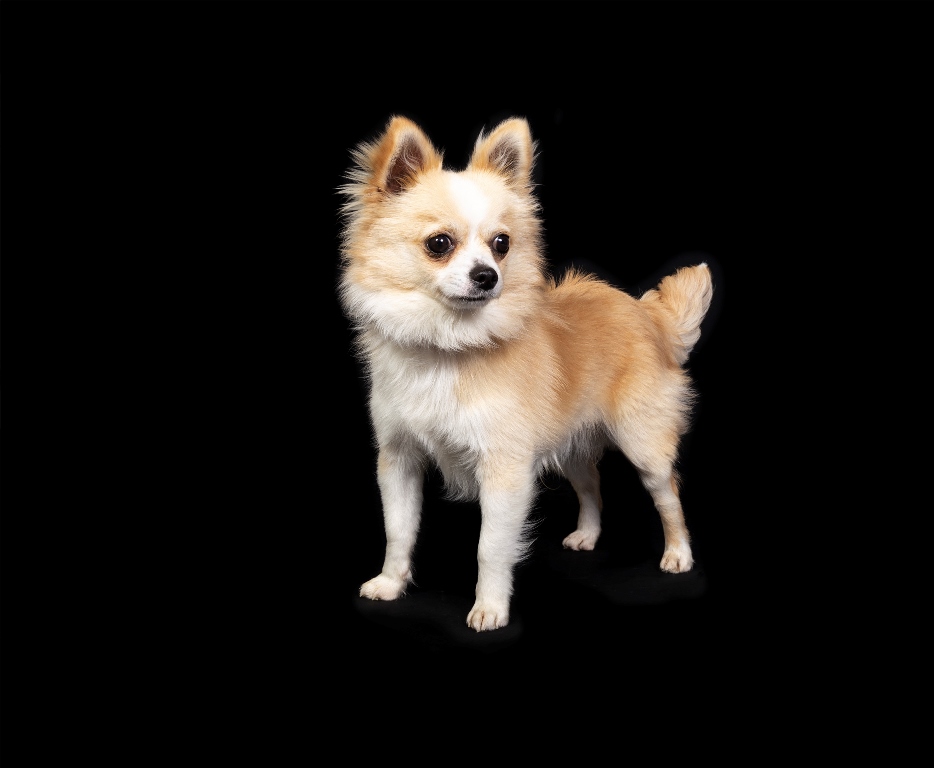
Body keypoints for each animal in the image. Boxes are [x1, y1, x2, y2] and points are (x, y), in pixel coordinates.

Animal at [338, 115, 714, 631]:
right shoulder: (400, 459)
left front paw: (490, 608)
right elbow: (398, 530)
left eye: (502, 245)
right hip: (572, 443)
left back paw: (678, 554)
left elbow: (490, 548)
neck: (449, 347)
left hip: (643, 444)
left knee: (667, 493)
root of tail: (645, 314)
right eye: (439, 244)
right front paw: (391, 583)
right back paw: (587, 536)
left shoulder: (505, 471)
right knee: (591, 485)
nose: (487, 276)